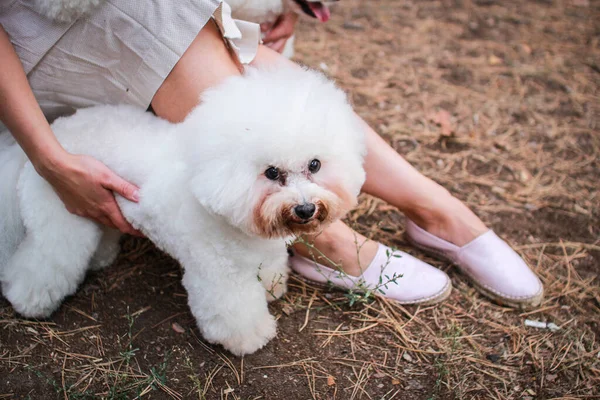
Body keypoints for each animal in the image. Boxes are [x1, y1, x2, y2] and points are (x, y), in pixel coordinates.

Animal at [0, 66, 366, 356]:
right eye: (272, 172)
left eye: (315, 165)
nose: (305, 209)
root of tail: (54, 132)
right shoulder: (219, 275)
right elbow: (234, 311)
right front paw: (251, 337)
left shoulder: (265, 255)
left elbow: (270, 272)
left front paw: (271, 290)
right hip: (60, 220)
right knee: (43, 261)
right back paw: (28, 300)